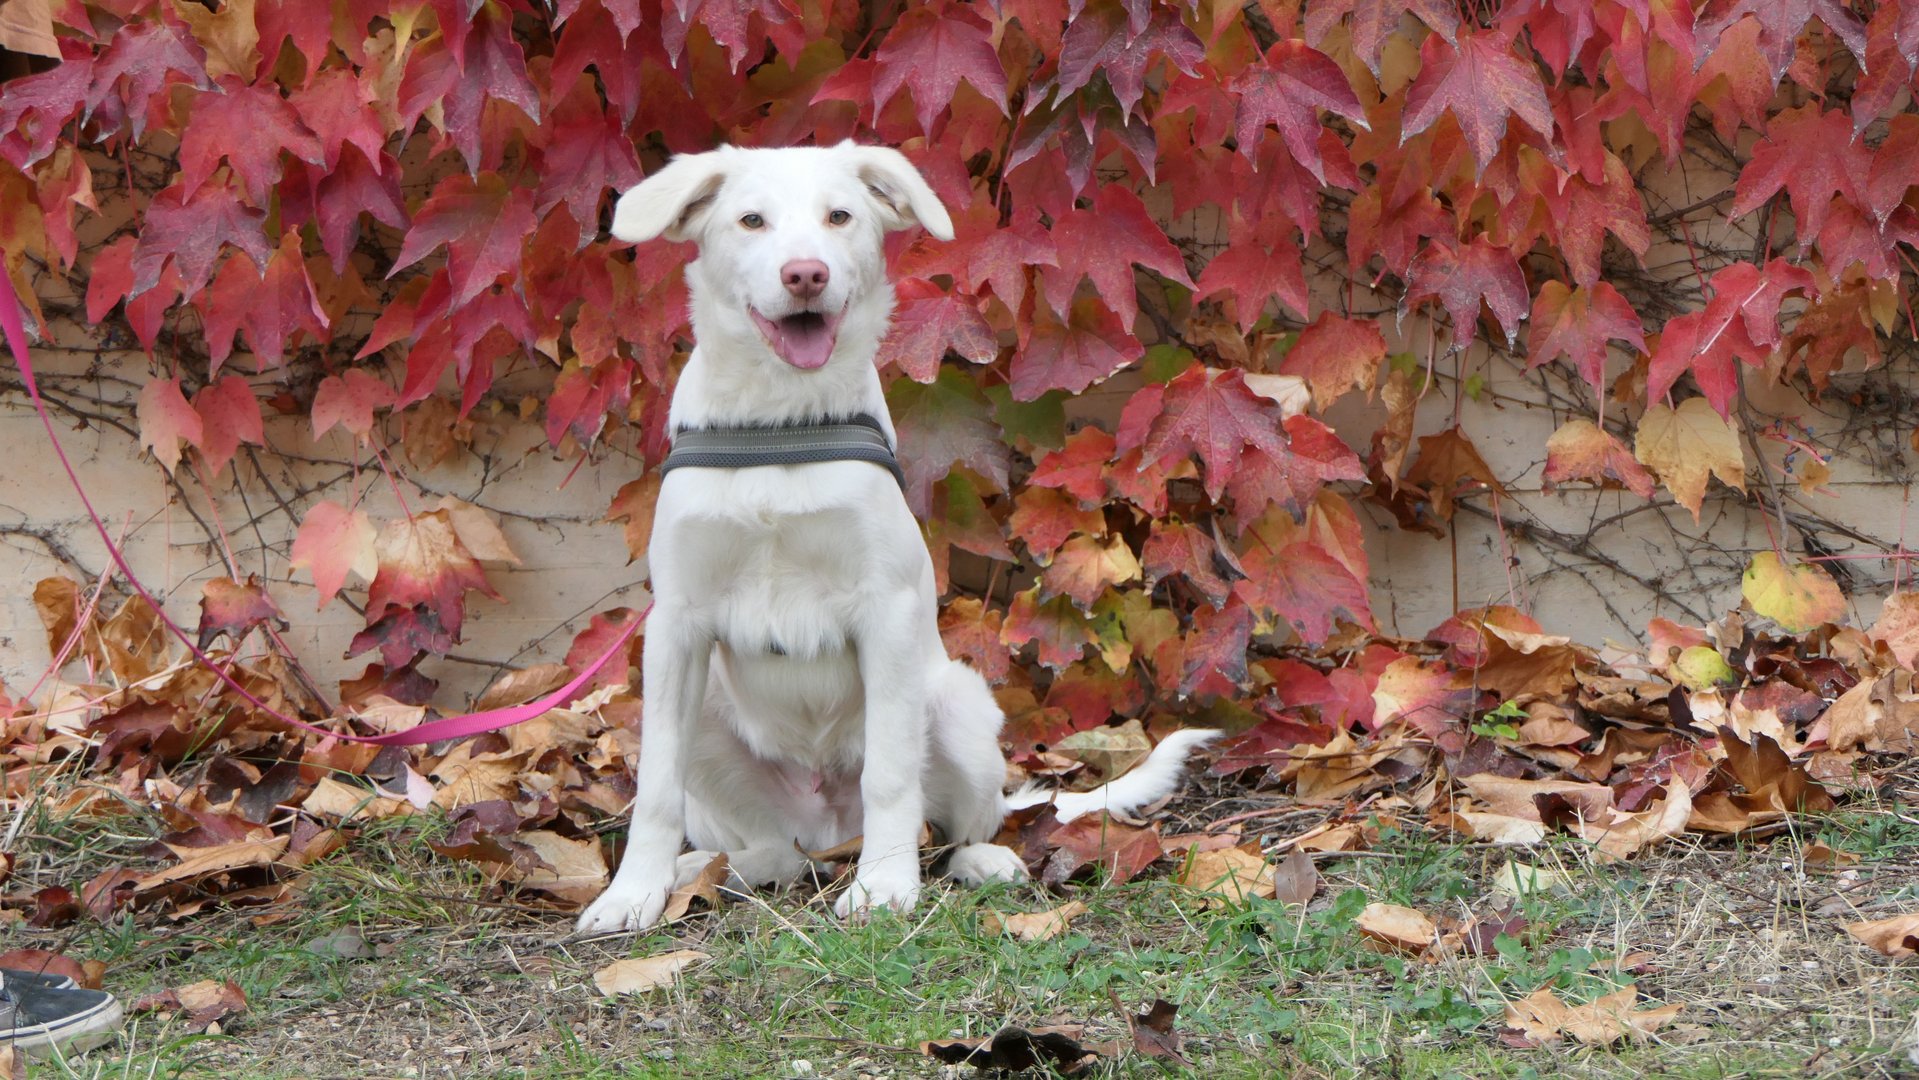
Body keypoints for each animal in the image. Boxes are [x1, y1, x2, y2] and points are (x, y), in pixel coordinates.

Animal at [575, 143, 1220, 939]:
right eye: (751, 221)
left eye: (839, 217)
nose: (806, 274)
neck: (780, 427)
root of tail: (831, 829)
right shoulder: (676, 628)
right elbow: (655, 787)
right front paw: (633, 892)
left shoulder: (885, 610)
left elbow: (889, 773)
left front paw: (884, 887)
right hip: (711, 724)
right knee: (778, 850)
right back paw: (719, 868)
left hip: (954, 701)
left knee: (953, 823)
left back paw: (972, 862)